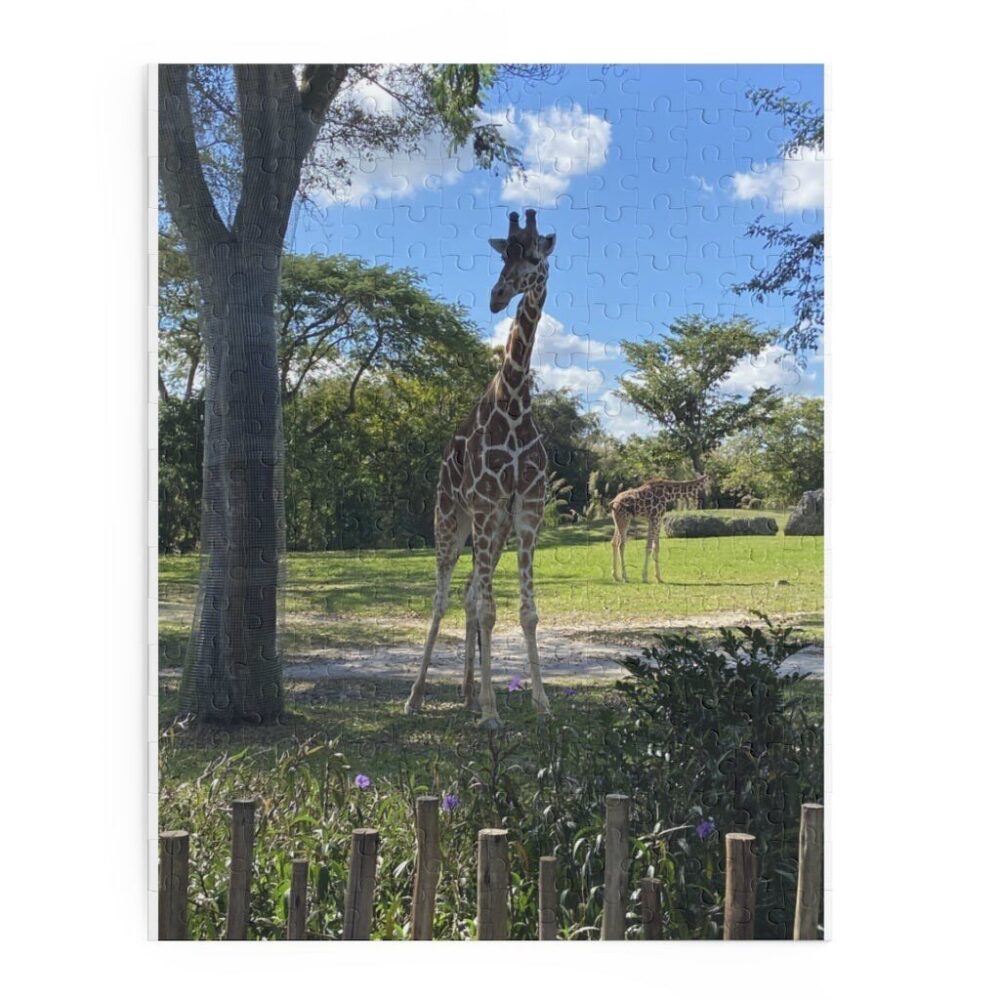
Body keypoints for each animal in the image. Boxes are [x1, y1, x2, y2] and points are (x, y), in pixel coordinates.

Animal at [405, 209, 556, 727]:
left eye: (534, 257)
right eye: (502, 255)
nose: (496, 296)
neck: (514, 403)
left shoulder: (526, 513)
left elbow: (526, 612)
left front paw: (538, 701)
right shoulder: (490, 507)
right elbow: (489, 610)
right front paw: (492, 712)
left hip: (487, 528)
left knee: (469, 596)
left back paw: (468, 692)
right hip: (451, 520)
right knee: (442, 599)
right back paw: (417, 696)